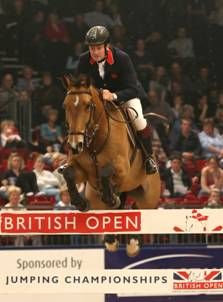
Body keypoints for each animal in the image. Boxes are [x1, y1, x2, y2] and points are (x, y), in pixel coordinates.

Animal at [61, 74, 161, 256]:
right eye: (65, 106)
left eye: (88, 106)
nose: (74, 145)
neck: (95, 139)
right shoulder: (82, 171)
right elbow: (68, 173)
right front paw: (80, 203)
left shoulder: (122, 169)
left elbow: (106, 171)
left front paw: (110, 196)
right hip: (97, 195)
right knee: (115, 209)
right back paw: (110, 239)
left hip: (148, 196)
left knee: (139, 208)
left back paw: (133, 242)